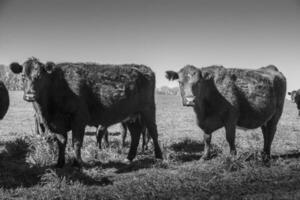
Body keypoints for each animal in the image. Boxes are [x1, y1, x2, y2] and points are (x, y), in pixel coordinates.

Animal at [10, 57, 163, 167]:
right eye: (22, 76)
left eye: (39, 76)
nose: (30, 95)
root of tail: (144, 68)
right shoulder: (58, 124)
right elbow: (61, 142)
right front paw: (60, 163)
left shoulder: (79, 119)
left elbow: (76, 142)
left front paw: (77, 163)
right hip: (130, 116)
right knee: (136, 134)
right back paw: (129, 158)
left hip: (148, 110)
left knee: (153, 132)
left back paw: (159, 157)